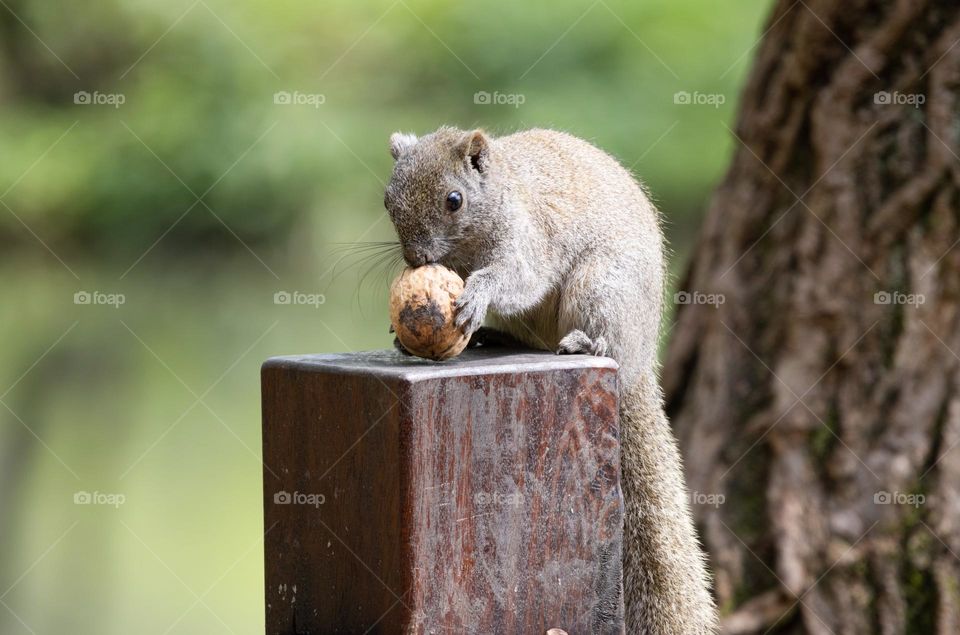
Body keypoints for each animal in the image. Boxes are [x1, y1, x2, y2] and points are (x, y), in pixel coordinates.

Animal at [384, 126, 718, 634]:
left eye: (454, 200)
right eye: (386, 200)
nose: (415, 257)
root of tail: (639, 362)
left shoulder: (527, 238)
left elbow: (518, 276)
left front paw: (478, 294)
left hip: (601, 287)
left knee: (602, 334)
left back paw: (587, 344)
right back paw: (492, 336)